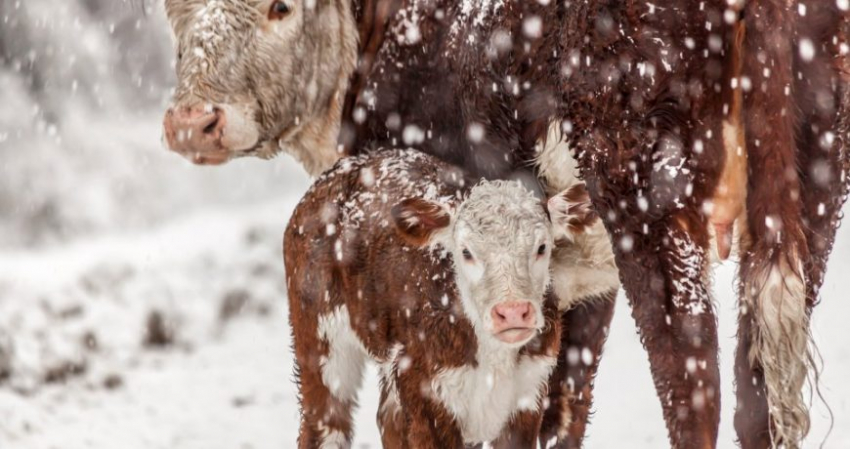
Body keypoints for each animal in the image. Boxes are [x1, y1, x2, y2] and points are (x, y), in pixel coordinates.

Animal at [284, 149, 604, 446]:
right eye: (466, 252)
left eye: (542, 247)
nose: (512, 312)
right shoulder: (425, 395)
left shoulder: (528, 393)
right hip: (319, 336)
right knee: (325, 423)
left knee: (388, 420)